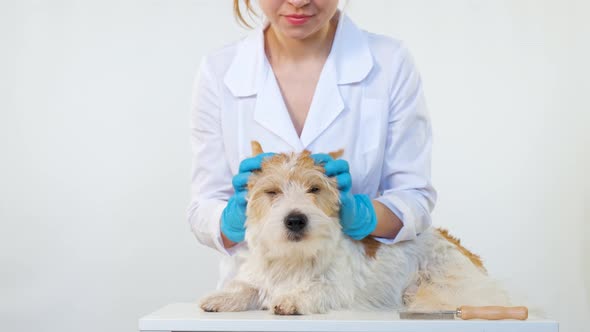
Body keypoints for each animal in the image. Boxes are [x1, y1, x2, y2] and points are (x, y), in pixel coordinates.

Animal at [200, 141, 512, 316]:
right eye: (272, 191)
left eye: (314, 189)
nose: (295, 219)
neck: (294, 257)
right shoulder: (259, 278)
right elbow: (247, 288)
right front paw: (223, 297)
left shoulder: (339, 290)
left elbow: (317, 289)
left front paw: (292, 298)